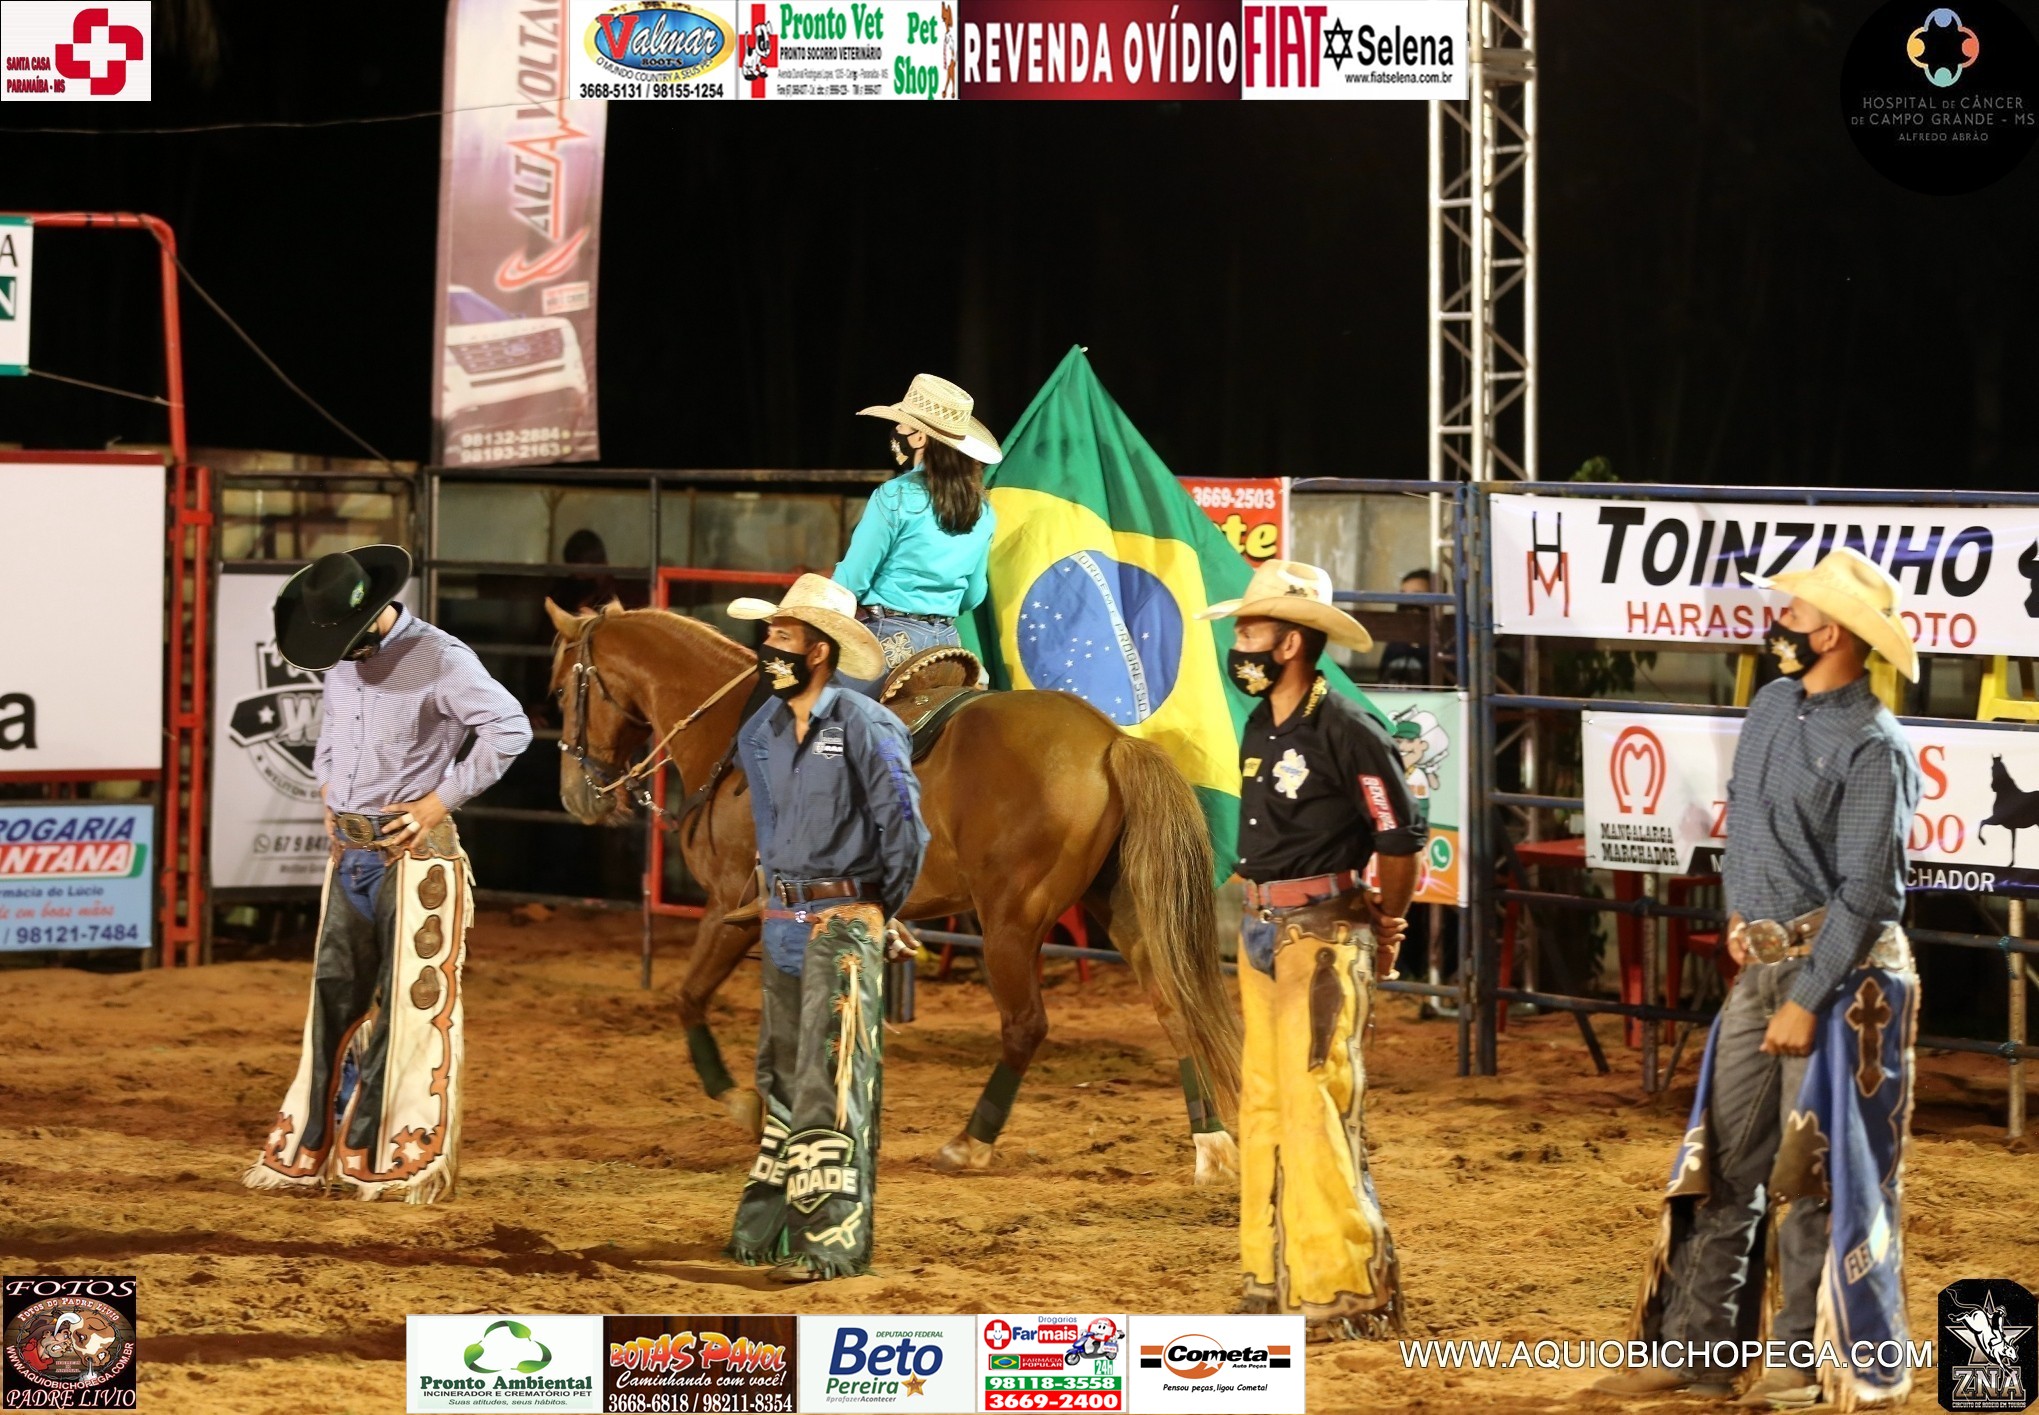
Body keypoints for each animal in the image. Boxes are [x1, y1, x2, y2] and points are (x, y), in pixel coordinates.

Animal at [544, 600, 1244, 1183]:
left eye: (558, 691)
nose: (577, 797)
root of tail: (1111, 742)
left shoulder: (728, 910)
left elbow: (690, 998)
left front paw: (745, 1105)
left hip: (1012, 921)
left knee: (1026, 1025)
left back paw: (969, 1143)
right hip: (1120, 907)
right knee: (1173, 1004)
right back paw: (1211, 1145)